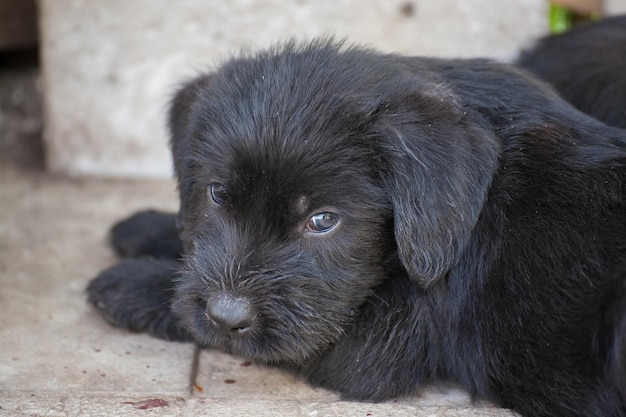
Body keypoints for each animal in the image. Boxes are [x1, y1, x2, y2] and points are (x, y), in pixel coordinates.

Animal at [86, 39, 624, 416]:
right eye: (218, 194)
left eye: (323, 221)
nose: (226, 314)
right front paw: (149, 228)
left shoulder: (371, 347)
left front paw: (131, 283)